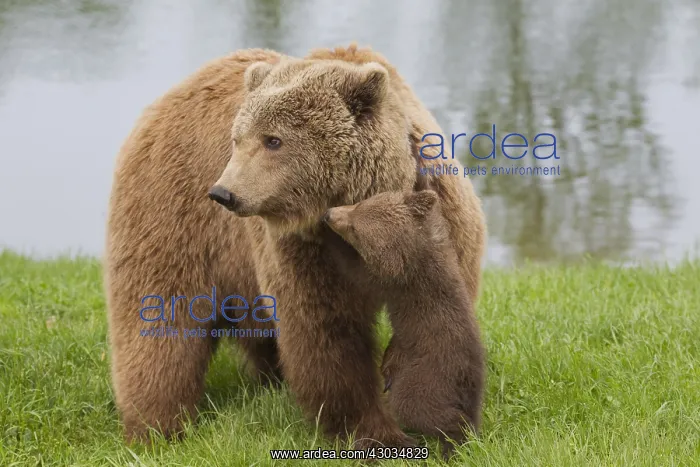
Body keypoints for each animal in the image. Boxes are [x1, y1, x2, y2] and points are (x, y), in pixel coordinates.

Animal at [323, 190, 486, 456]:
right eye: (360, 203)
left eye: (355, 229)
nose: (328, 214)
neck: (419, 254)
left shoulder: (388, 281)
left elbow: (356, 271)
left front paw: (326, 239)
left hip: (425, 376)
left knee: (417, 408)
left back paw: (453, 443)